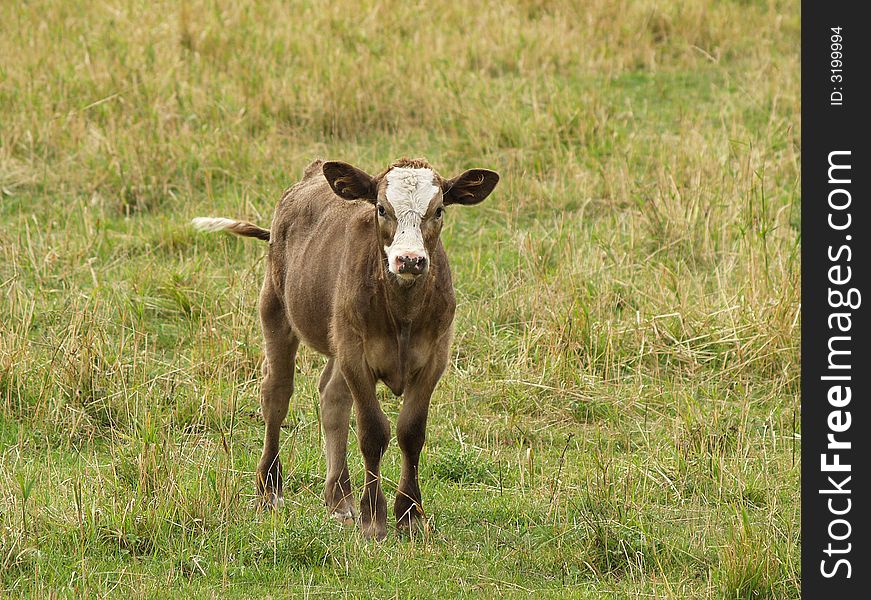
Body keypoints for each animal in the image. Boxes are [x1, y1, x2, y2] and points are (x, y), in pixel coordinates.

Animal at [194, 158, 500, 540]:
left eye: (439, 210)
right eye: (381, 209)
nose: (409, 260)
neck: (403, 313)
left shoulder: (434, 357)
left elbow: (411, 432)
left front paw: (410, 514)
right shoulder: (356, 355)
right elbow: (373, 432)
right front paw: (374, 518)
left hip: (337, 337)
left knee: (331, 397)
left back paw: (339, 500)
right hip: (276, 308)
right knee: (276, 395)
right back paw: (270, 491)